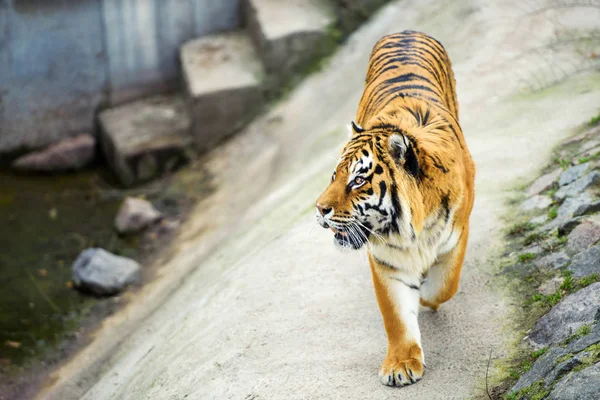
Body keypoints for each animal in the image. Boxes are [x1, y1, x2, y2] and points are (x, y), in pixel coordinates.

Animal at [316, 31, 476, 388]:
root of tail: (404, 31)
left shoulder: (457, 234)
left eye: (358, 180)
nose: (320, 209)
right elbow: (396, 316)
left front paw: (426, 293)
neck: (412, 227)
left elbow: (444, 285)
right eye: (334, 176)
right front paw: (401, 365)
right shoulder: (386, 259)